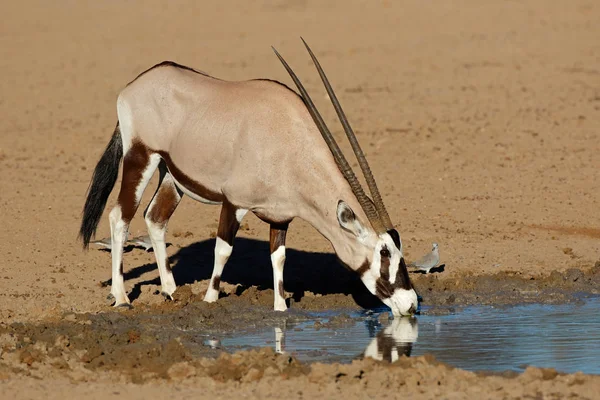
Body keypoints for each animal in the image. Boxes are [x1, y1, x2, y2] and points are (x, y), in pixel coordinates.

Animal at [78, 39, 418, 316]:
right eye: (384, 254)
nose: (411, 303)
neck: (288, 139)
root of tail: (133, 86)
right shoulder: (234, 203)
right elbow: (223, 250)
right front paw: (210, 300)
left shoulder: (281, 216)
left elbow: (279, 258)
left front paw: (280, 308)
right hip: (141, 157)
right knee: (120, 217)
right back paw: (122, 297)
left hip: (170, 174)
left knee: (155, 218)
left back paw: (173, 292)